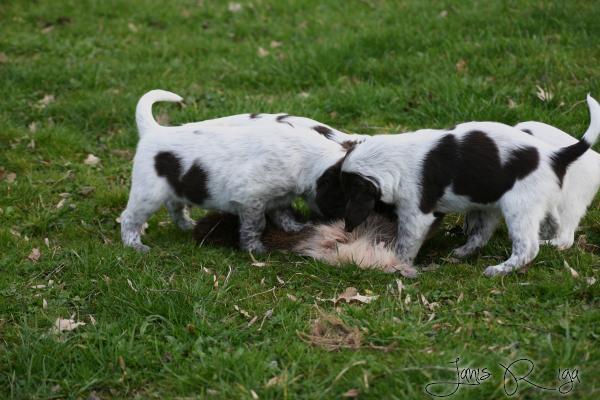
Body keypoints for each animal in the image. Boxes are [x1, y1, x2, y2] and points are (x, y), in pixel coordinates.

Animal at [120, 90, 350, 253]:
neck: (304, 156)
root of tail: (153, 131)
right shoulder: (251, 199)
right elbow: (256, 225)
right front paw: (254, 249)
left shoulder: (278, 196)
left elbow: (283, 214)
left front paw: (296, 228)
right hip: (147, 194)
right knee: (129, 218)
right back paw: (134, 245)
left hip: (175, 186)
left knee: (174, 206)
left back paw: (187, 226)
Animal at [340, 95, 600, 276]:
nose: (346, 226)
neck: (396, 159)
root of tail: (555, 156)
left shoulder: (416, 214)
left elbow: (405, 244)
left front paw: (396, 263)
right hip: (496, 204)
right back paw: (465, 252)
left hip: (518, 206)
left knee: (527, 248)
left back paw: (500, 269)